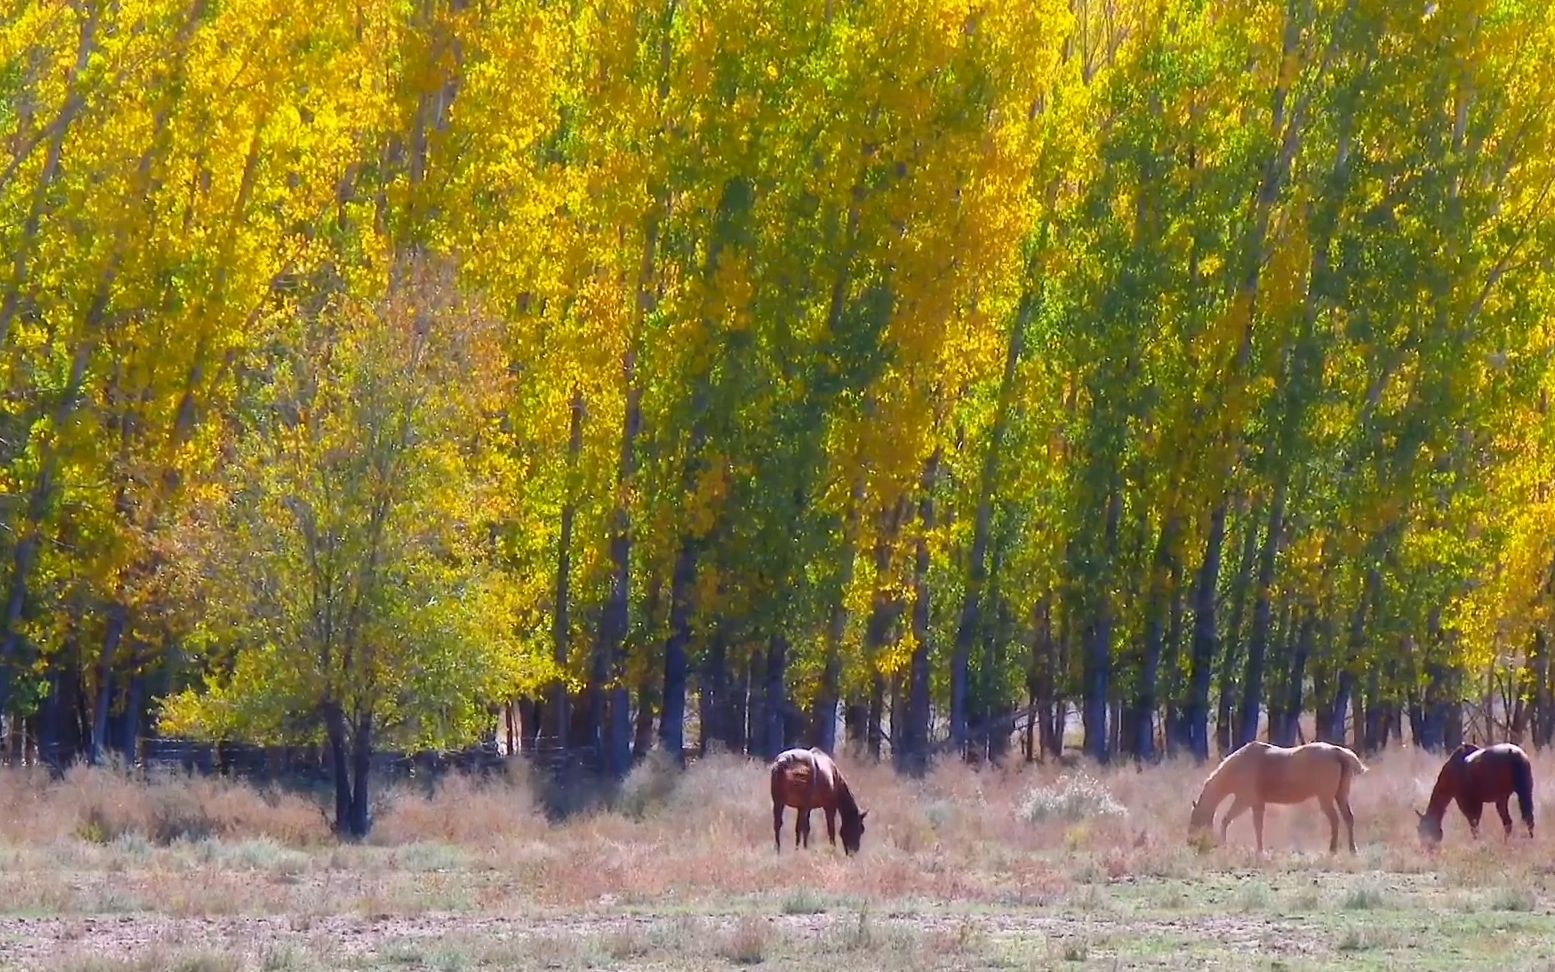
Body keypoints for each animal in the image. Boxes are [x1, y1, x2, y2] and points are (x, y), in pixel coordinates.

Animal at [1181, 740, 1368, 852]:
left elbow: (1226, 820)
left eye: (1195, 820)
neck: (1240, 766)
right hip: (1340, 795)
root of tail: (1338, 752)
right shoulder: (1257, 804)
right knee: (1348, 818)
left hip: (1326, 798)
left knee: (1335, 820)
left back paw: (1332, 849)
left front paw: (1224, 845)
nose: (1191, 842)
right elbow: (1258, 827)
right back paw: (1352, 850)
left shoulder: (1244, 800)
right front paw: (1259, 850)